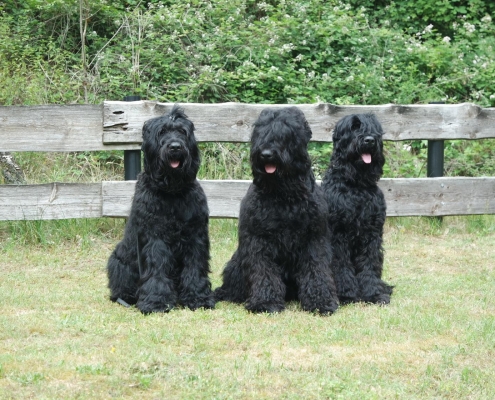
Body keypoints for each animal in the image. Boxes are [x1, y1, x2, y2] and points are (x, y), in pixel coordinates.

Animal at [106, 104, 215, 314]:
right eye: (162, 132)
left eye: (182, 132)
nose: (175, 147)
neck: (171, 191)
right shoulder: (154, 237)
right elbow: (157, 268)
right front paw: (156, 301)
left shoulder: (195, 235)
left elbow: (195, 266)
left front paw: (198, 297)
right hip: (118, 260)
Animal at [215, 107, 340, 316]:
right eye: (259, 132)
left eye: (286, 132)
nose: (265, 154)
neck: (284, 193)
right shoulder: (258, 240)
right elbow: (264, 271)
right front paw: (265, 302)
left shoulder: (314, 239)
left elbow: (316, 270)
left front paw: (321, 301)